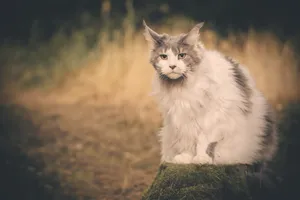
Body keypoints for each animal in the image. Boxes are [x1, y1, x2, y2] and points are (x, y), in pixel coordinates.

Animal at [142, 20, 278, 165]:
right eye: (163, 57)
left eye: (182, 55)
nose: (172, 66)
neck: (182, 86)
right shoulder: (180, 117)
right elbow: (186, 139)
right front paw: (186, 157)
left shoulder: (213, 116)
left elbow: (203, 140)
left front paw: (201, 158)